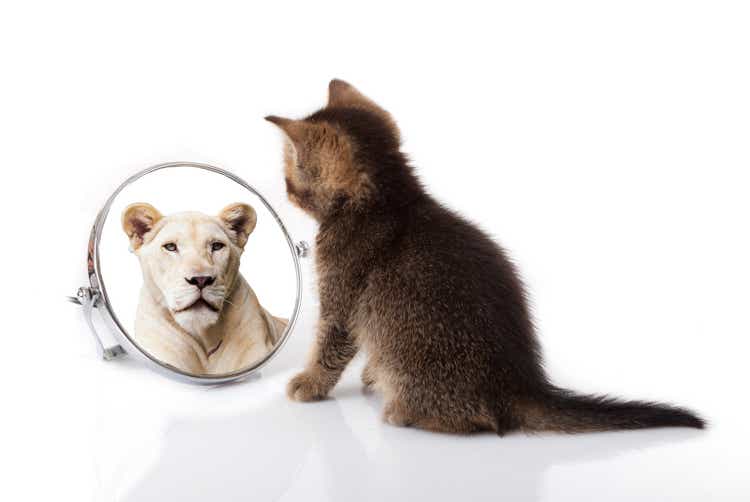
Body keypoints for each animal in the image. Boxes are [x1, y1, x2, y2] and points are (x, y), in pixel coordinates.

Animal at [266, 80, 704, 434]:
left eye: (290, 175)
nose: (284, 191)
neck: (387, 201)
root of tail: (520, 386)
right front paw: (366, 373)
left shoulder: (341, 298)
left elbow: (329, 346)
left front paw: (309, 383)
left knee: (473, 419)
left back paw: (404, 412)